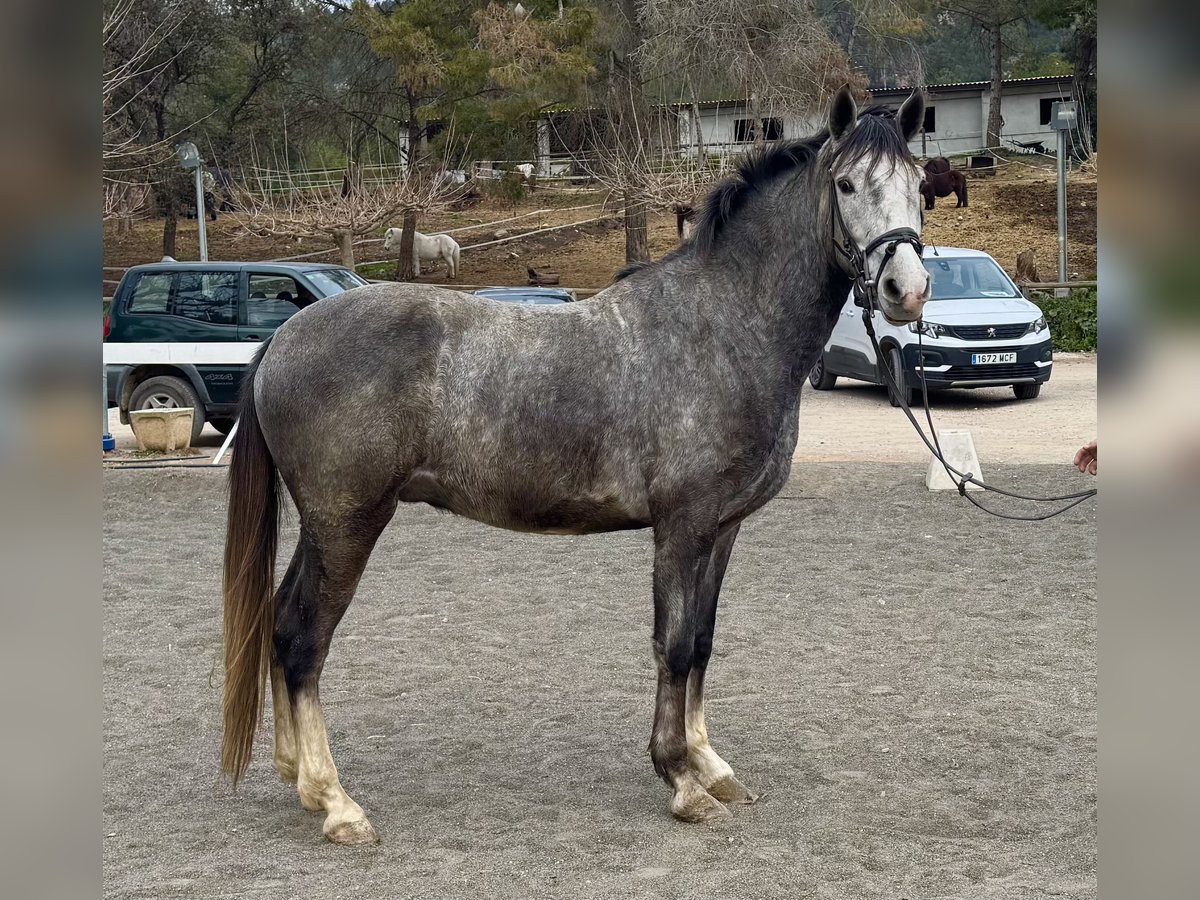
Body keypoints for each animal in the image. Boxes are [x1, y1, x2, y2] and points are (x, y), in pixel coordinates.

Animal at [223, 84, 926, 844]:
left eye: (919, 185)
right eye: (847, 184)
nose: (906, 290)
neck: (721, 327)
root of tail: (285, 336)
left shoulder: (723, 528)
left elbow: (703, 641)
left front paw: (710, 765)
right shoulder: (682, 527)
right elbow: (673, 646)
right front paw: (681, 781)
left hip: (325, 528)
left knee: (281, 624)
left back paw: (300, 779)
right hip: (348, 524)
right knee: (303, 640)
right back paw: (338, 804)